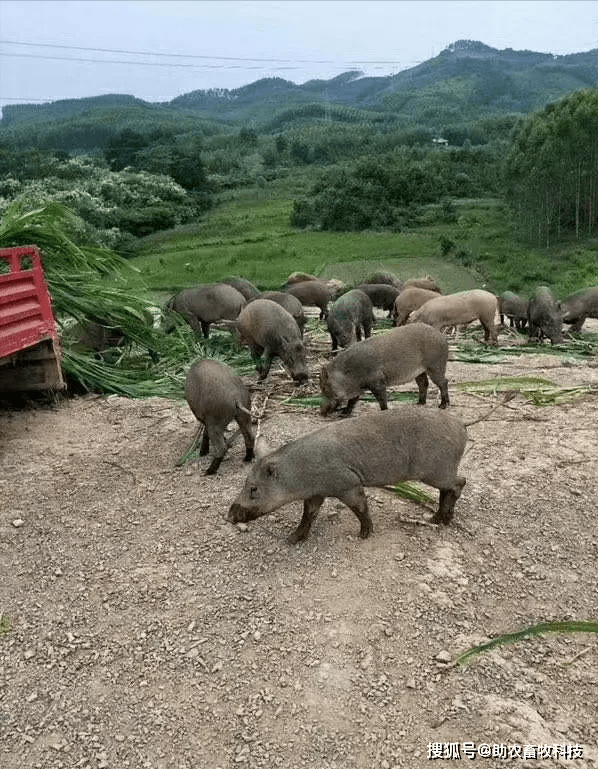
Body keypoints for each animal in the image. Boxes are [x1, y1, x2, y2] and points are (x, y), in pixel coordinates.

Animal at [229, 408, 468, 540]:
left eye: (253, 489)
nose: (228, 516)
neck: (300, 472)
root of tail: (462, 425)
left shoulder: (348, 484)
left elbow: (360, 508)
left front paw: (363, 535)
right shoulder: (316, 494)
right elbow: (308, 515)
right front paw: (291, 539)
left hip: (436, 471)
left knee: (460, 482)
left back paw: (440, 519)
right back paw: (436, 519)